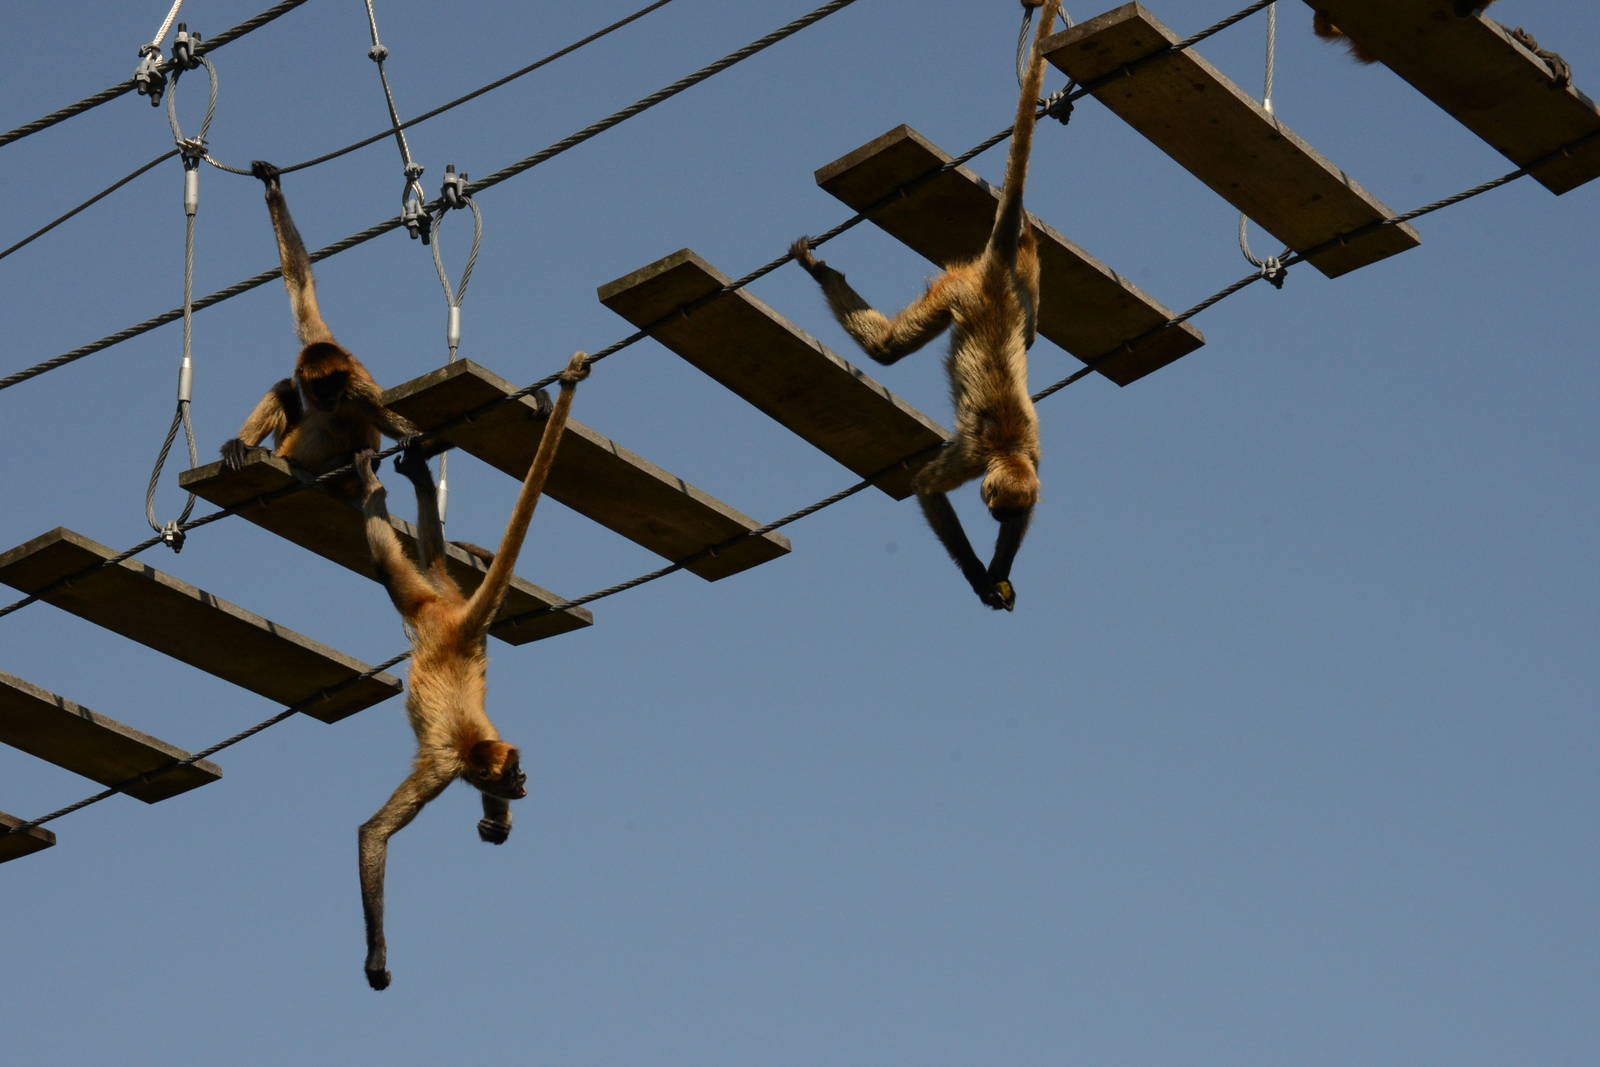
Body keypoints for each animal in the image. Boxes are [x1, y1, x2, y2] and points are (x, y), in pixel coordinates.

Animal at [219, 161, 419, 500]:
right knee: (284, 387)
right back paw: (241, 447)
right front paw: (273, 190)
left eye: (336, 386)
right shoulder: (315, 339)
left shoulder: (357, 389)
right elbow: (300, 281)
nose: (330, 398)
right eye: (323, 387)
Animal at [354, 350, 589, 991]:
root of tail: (457, 629)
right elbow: (373, 833)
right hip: (439, 600)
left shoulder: (454, 763)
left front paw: (376, 958)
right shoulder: (462, 757)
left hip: (423, 606)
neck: (468, 749)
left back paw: (377, 487)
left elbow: (372, 833)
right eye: (516, 776)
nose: (525, 785)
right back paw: (406, 485)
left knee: (392, 566)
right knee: (427, 562)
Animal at [790, 0, 1059, 612]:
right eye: (992, 504)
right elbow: (924, 488)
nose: (994, 516)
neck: (1008, 447)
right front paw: (980, 574)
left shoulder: (1033, 463)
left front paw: (999, 570)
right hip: (954, 291)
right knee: (889, 349)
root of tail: (994, 276)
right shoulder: (973, 455)